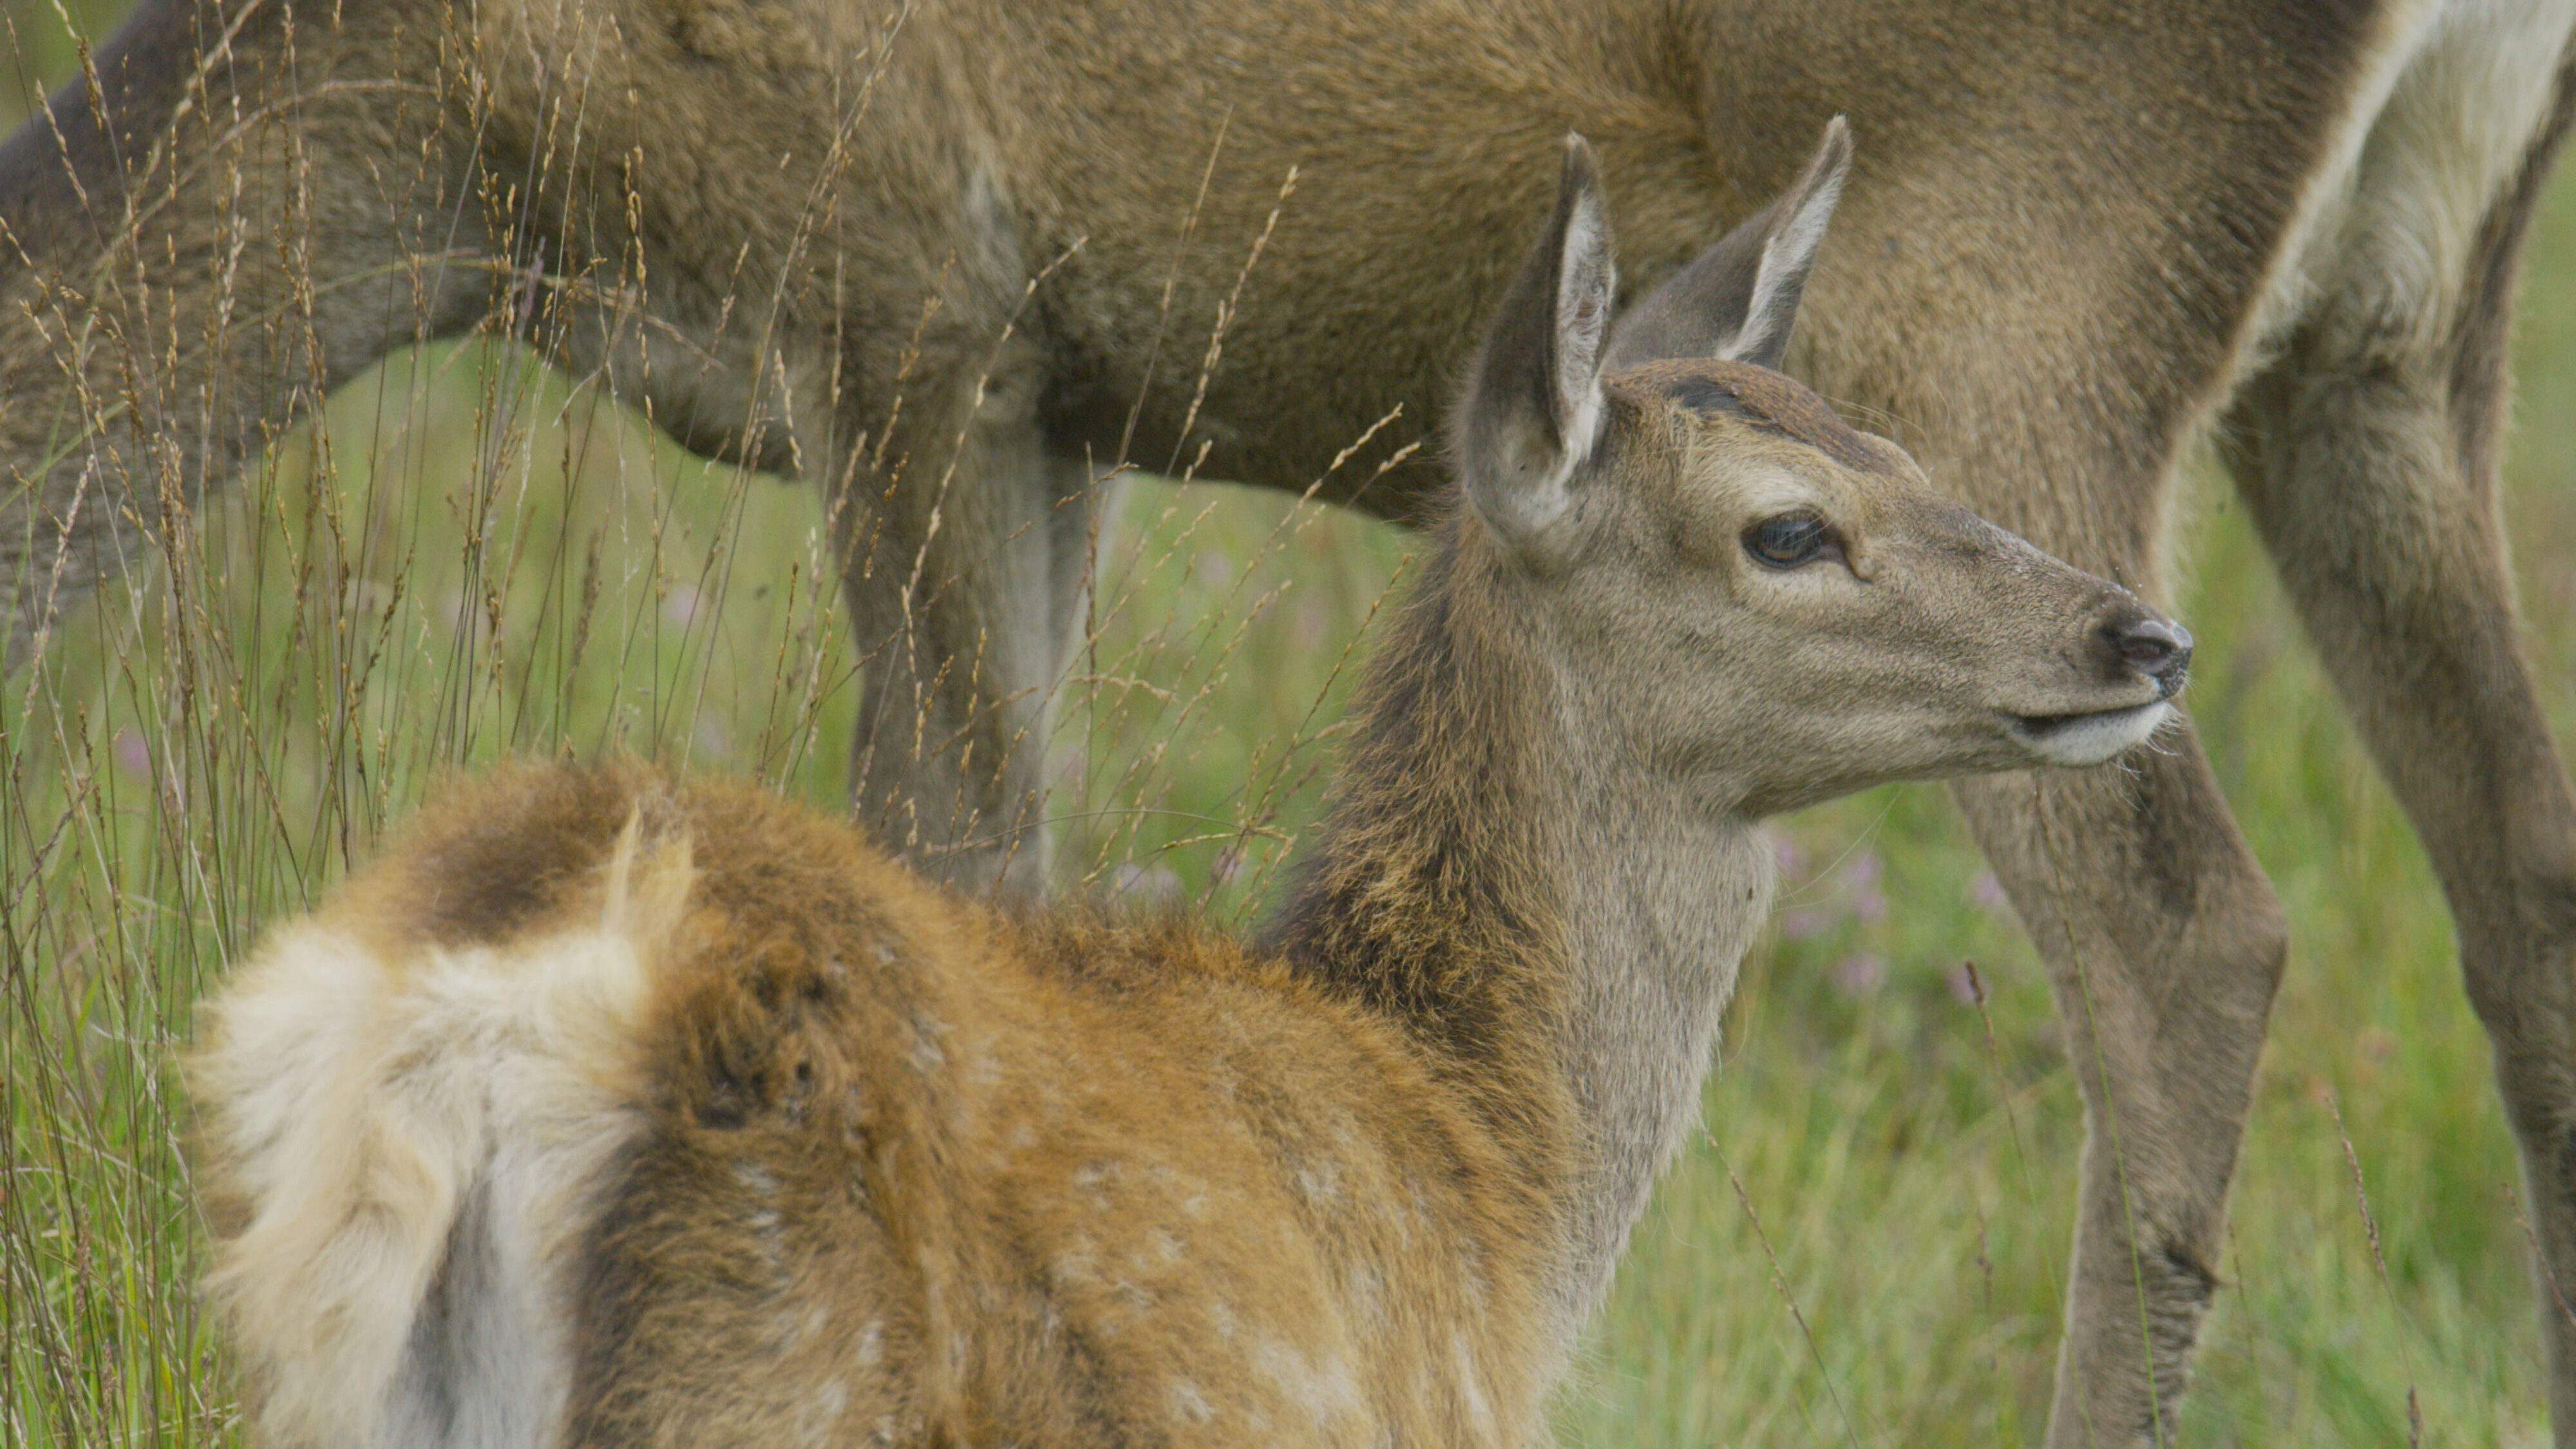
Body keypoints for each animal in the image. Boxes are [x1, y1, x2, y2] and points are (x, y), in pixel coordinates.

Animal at [15, 0, 2576, 1433]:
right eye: (1785, 525)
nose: (2134, 644)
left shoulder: (918, 293)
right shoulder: (966, 344)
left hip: (2041, 279)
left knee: (2214, 932)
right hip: (2339, 337)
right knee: (2486, 887)